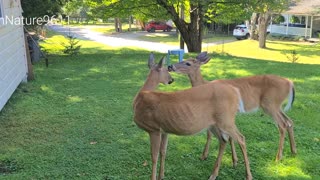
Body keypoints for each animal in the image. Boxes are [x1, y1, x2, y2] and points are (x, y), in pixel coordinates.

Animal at [132, 52, 252, 180]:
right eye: (165, 70)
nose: (171, 79)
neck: (141, 96)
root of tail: (235, 92)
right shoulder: (164, 130)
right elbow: (163, 152)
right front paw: (161, 175)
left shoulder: (153, 129)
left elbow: (154, 157)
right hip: (216, 123)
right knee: (224, 140)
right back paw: (218, 171)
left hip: (225, 120)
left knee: (240, 138)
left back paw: (247, 175)